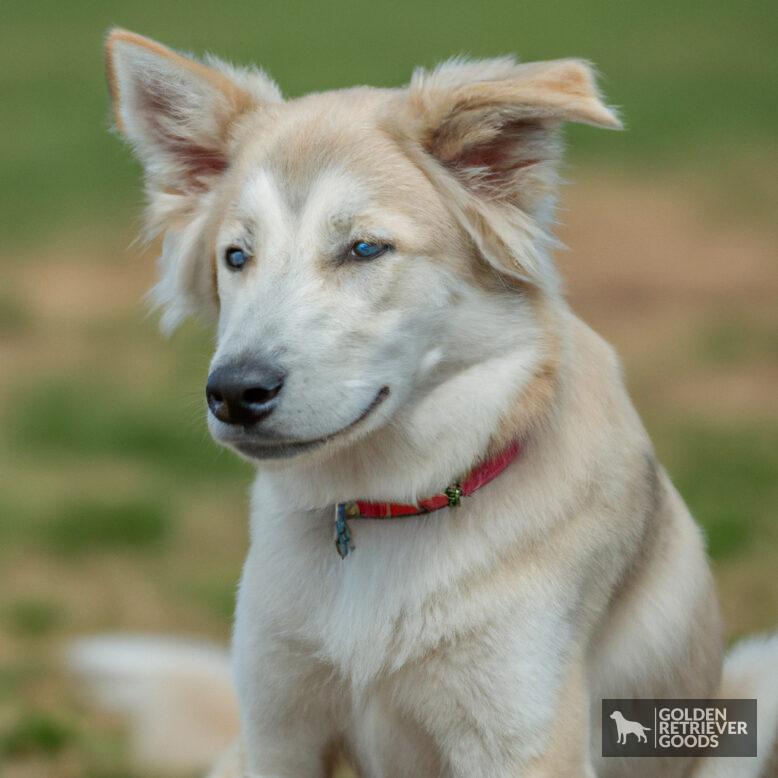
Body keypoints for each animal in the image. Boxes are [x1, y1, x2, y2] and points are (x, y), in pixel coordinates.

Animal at [69, 28, 772, 776]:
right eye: (236, 257)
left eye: (364, 248)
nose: (233, 392)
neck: (387, 512)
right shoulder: (277, 729)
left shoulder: (519, 739)